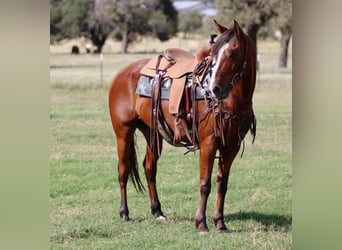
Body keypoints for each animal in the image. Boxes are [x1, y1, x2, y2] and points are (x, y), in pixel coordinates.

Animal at [108, 20, 255, 233]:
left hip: (153, 133)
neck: (232, 101)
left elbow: (222, 184)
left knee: (149, 168)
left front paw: (220, 222)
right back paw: (124, 212)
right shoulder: (209, 144)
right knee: (123, 170)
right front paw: (201, 223)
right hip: (123, 132)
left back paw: (157, 211)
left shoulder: (231, 147)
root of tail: (121, 74)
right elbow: (205, 184)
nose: (214, 89)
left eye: (233, 53)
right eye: (214, 53)